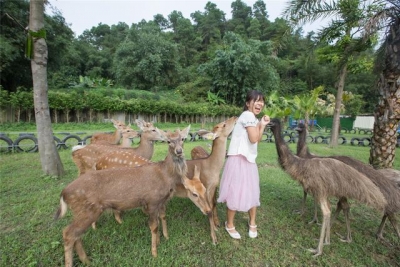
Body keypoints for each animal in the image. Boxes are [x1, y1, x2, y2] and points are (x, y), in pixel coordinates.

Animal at [54, 126, 212, 267]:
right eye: (168, 141)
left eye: (182, 139)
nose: (179, 151)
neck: (165, 175)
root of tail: (64, 193)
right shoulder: (152, 200)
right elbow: (153, 226)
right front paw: (154, 253)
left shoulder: (160, 201)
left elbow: (162, 219)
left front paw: (164, 239)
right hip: (87, 210)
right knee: (68, 233)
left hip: (82, 212)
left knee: (75, 235)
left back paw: (86, 261)